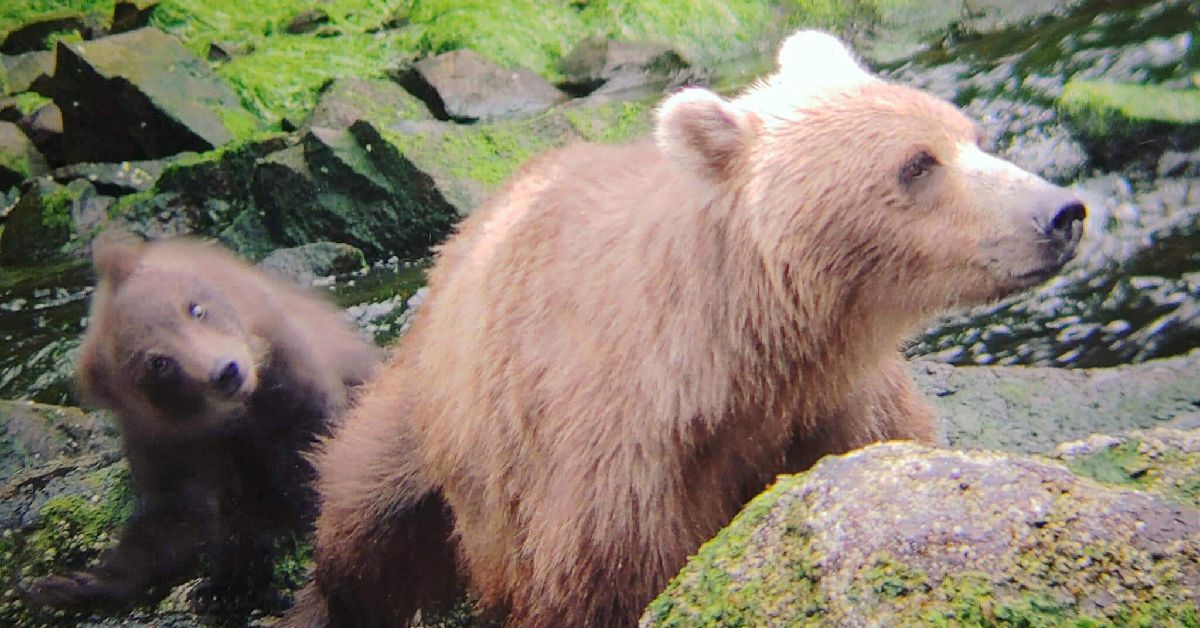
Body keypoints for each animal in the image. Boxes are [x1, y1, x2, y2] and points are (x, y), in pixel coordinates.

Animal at [22, 231, 381, 614]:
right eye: (159, 363)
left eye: (195, 308)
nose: (226, 371)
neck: (229, 419)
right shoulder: (166, 444)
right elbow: (175, 521)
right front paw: (67, 583)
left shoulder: (286, 379)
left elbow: (310, 449)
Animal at [287, 31, 1086, 627]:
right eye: (917, 163)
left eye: (971, 134)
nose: (1061, 213)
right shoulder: (610, 466)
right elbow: (602, 585)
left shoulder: (840, 405)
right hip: (435, 422)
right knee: (360, 524)